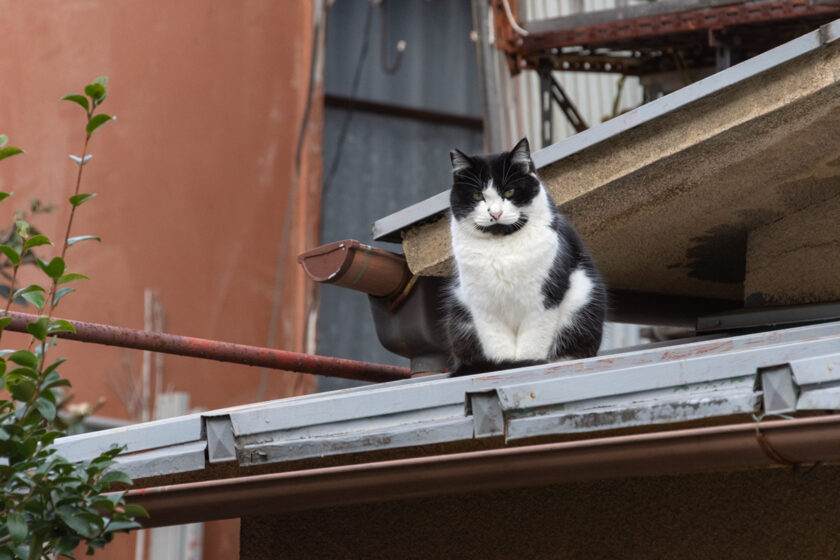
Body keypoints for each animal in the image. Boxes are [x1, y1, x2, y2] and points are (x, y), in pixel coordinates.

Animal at [442, 137, 608, 376]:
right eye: (477, 196)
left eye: (509, 192)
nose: (495, 213)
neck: (501, 247)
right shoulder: (481, 305)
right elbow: (497, 345)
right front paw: (503, 367)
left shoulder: (544, 298)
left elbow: (533, 342)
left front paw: (529, 364)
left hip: (584, 302)